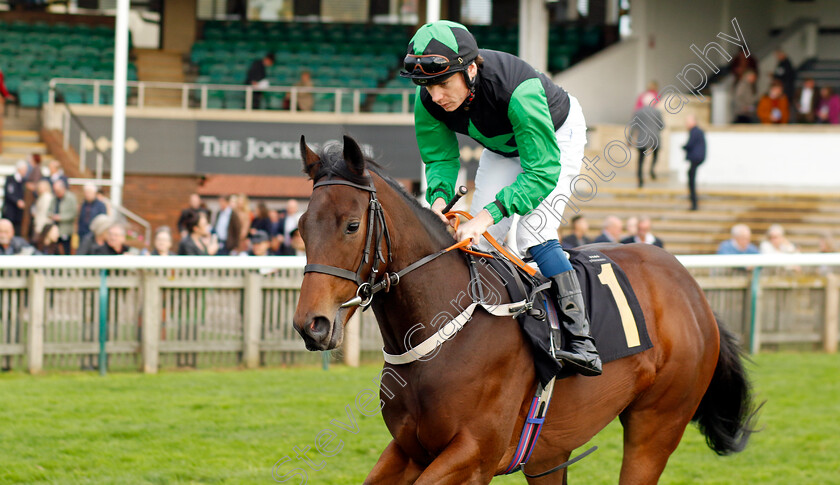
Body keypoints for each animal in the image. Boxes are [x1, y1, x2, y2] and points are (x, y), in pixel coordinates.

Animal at [292, 136, 756, 484]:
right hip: (549, 452)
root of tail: (691, 288)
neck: (442, 335)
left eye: (352, 225)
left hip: (657, 424)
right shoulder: (410, 449)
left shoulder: (474, 455)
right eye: (300, 227)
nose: (311, 325)